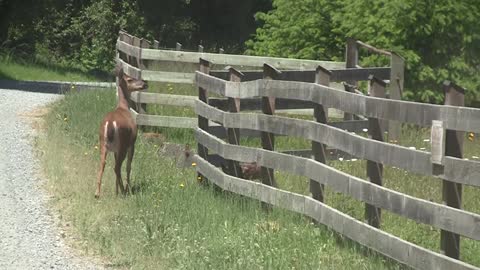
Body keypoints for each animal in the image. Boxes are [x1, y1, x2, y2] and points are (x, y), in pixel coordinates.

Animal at [94, 63, 146, 198]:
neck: (123, 107)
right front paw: (128, 189)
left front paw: (116, 190)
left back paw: (97, 193)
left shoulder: (115, 150)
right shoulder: (132, 143)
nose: (145, 83)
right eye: (130, 79)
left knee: (103, 164)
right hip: (122, 143)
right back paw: (124, 191)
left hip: (103, 143)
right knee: (117, 167)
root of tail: (110, 124)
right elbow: (128, 166)